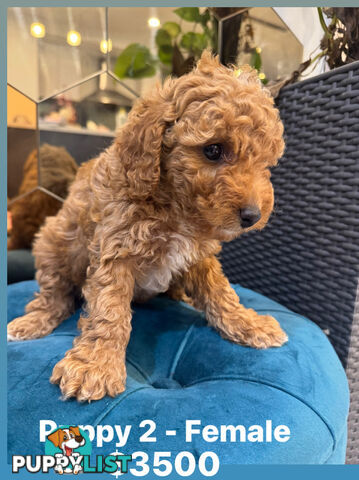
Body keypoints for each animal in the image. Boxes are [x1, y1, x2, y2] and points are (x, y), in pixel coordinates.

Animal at [7, 51, 288, 402]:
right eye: (213, 150)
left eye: (265, 162)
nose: (252, 215)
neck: (174, 205)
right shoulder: (115, 250)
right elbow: (109, 309)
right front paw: (95, 365)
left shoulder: (198, 254)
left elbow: (220, 291)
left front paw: (248, 323)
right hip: (53, 242)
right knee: (53, 292)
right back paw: (31, 321)